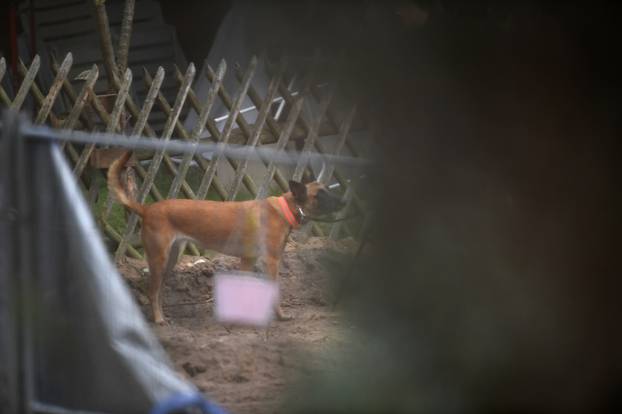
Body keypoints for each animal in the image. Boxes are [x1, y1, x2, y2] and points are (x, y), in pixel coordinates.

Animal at [109, 150, 348, 326]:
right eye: (320, 195)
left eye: (328, 189)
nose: (345, 202)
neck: (287, 208)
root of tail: (147, 209)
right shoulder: (271, 262)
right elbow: (274, 292)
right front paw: (279, 316)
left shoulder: (248, 260)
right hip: (159, 259)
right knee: (152, 290)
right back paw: (159, 319)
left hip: (169, 260)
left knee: (155, 291)